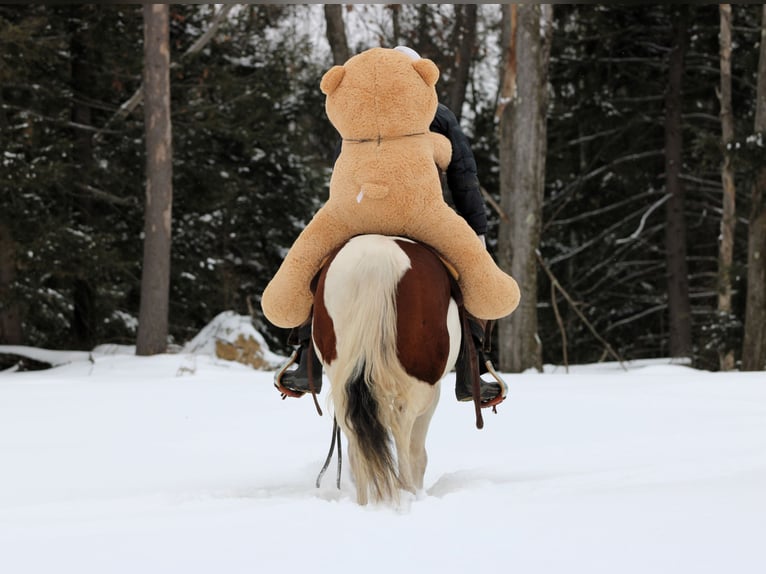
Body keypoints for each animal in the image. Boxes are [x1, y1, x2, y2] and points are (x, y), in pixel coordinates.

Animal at [310, 234, 462, 505]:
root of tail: (377, 261)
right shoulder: (433, 393)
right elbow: (417, 452)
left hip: (340, 377)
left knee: (354, 440)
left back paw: (364, 502)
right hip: (421, 382)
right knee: (403, 432)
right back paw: (407, 492)